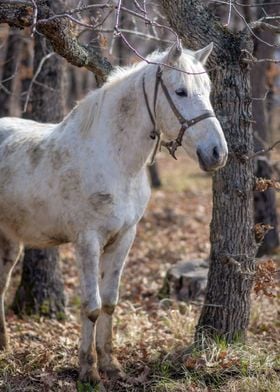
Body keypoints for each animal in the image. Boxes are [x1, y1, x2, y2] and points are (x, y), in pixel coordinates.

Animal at [0, 44, 228, 384]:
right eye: (180, 91)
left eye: (208, 90)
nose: (217, 153)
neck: (114, 162)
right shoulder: (88, 242)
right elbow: (92, 306)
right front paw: (88, 369)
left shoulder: (124, 238)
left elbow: (109, 302)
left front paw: (110, 364)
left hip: (10, 239)